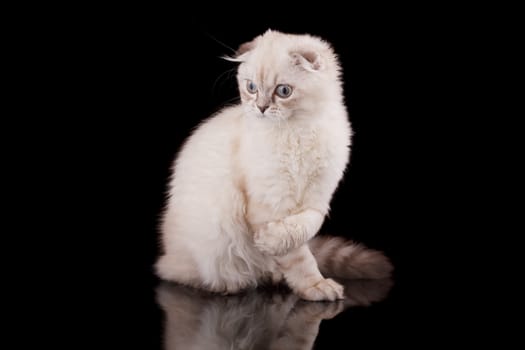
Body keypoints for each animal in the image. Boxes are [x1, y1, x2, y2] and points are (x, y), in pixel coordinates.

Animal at [154, 29, 390, 300]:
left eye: (283, 91)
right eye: (251, 88)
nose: (261, 108)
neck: (297, 131)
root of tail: (168, 255)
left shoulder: (318, 198)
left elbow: (308, 226)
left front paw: (271, 241)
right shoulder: (269, 202)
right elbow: (300, 259)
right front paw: (315, 286)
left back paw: (272, 275)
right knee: (182, 273)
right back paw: (229, 284)